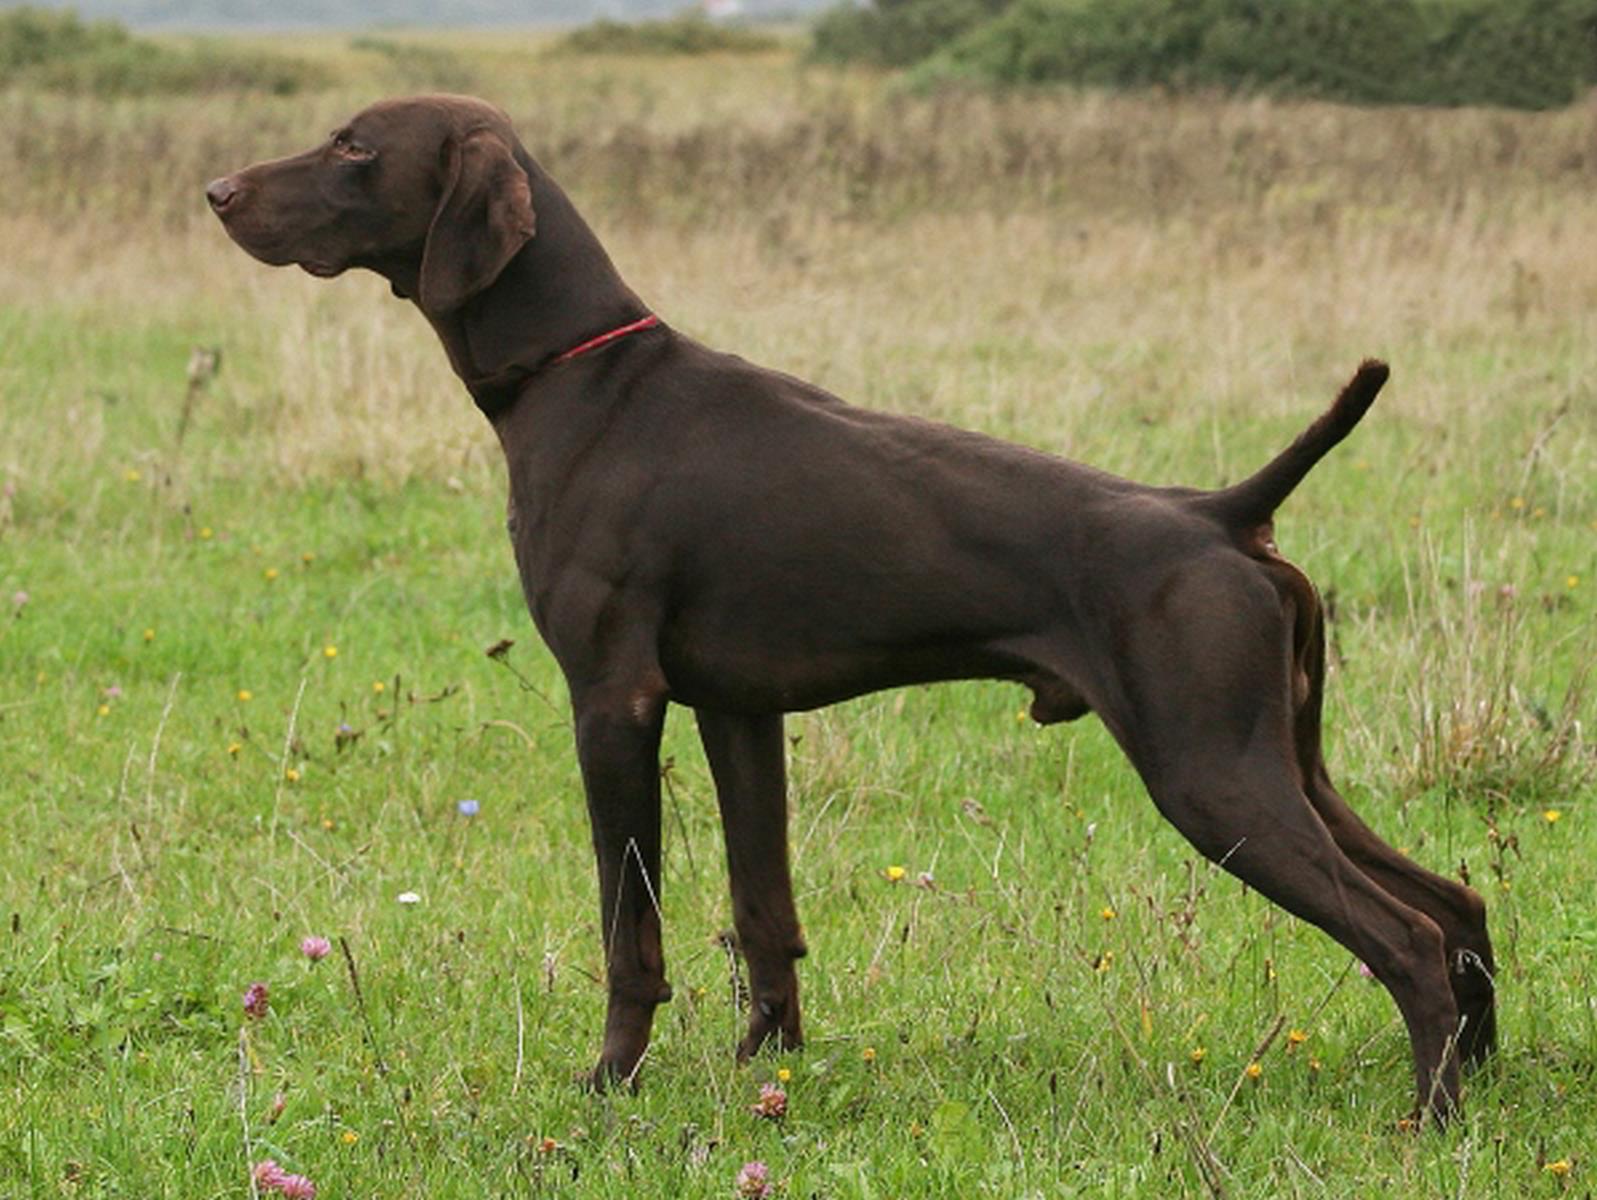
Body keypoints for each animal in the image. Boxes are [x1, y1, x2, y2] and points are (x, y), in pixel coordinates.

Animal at [206, 93, 1488, 1124]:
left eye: (354, 147)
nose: (215, 192)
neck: (579, 372)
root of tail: (1222, 513)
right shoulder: (735, 712)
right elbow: (761, 912)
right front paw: (764, 1068)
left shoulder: (613, 701)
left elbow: (632, 930)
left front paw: (612, 1080)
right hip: (1283, 762)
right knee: (1458, 904)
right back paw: (1481, 1083)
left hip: (1209, 774)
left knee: (1410, 938)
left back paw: (1426, 1122)